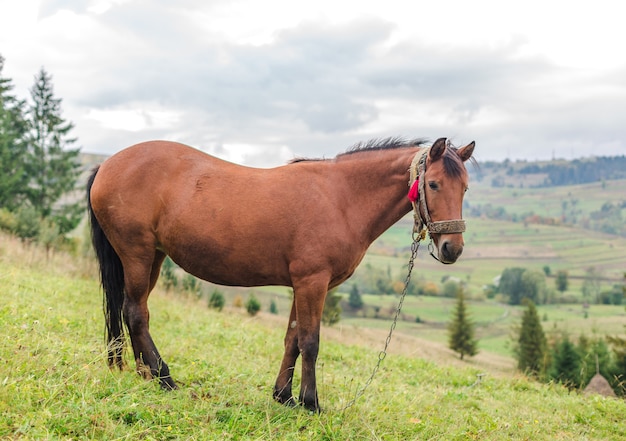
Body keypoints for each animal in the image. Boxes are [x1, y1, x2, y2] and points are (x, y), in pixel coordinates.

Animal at [84, 136, 472, 410]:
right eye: (434, 184)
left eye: (465, 187)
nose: (452, 248)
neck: (341, 197)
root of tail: (107, 164)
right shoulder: (313, 283)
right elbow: (311, 342)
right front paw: (310, 403)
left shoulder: (303, 285)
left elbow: (293, 339)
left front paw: (283, 396)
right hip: (136, 254)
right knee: (137, 313)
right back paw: (164, 378)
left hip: (153, 258)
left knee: (133, 311)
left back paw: (145, 375)